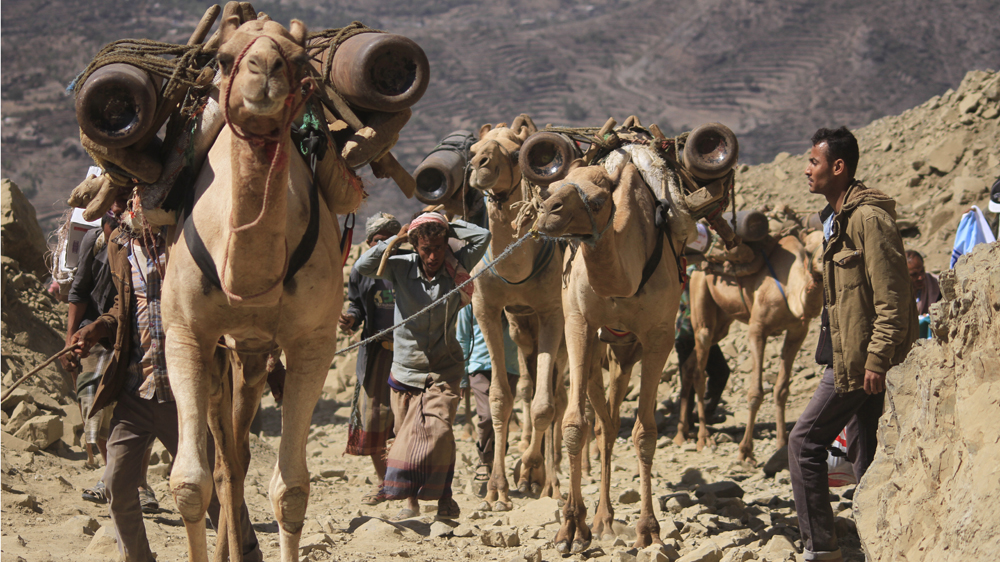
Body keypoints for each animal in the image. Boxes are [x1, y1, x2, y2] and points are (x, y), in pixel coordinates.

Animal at [160, 15, 362, 562]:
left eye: (297, 59)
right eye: (223, 57)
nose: (264, 69)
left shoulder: (314, 340)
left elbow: (290, 490)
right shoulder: (184, 332)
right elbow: (188, 482)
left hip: (253, 356)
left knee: (239, 452)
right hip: (221, 354)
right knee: (225, 456)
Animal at [467, 115, 567, 509]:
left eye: (513, 153)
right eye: (473, 149)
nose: (478, 167)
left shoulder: (552, 312)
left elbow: (544, 406)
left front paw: (529, 467)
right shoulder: (487, 309)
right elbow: (500, 399)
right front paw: (497, 490)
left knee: (559, 396)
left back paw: (549, 477)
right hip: (522, 329)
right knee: (529, 385)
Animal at [533, 143, 687, 553]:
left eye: (599, 201)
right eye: (552, 186)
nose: (547, 210)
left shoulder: (660, 335)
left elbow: (645, 434)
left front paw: (649, 529)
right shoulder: (578, 322)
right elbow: (574, 424)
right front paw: (570, 528)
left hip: (626, 351)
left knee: (613, 421)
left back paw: (606, 519)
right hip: (597, 352)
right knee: (603, 422)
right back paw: (599, 520)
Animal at [677, 230, 825, 462]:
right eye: (809, 251)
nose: (824, 261)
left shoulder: (797, 331)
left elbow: (781, 389)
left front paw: (782, 444)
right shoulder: (757, 329)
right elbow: (755, 393)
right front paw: (746, 451)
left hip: (723, 321)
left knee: (689, 365)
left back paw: (681, 434)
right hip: (700, 297)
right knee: (700, 370)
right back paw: (703, 438)